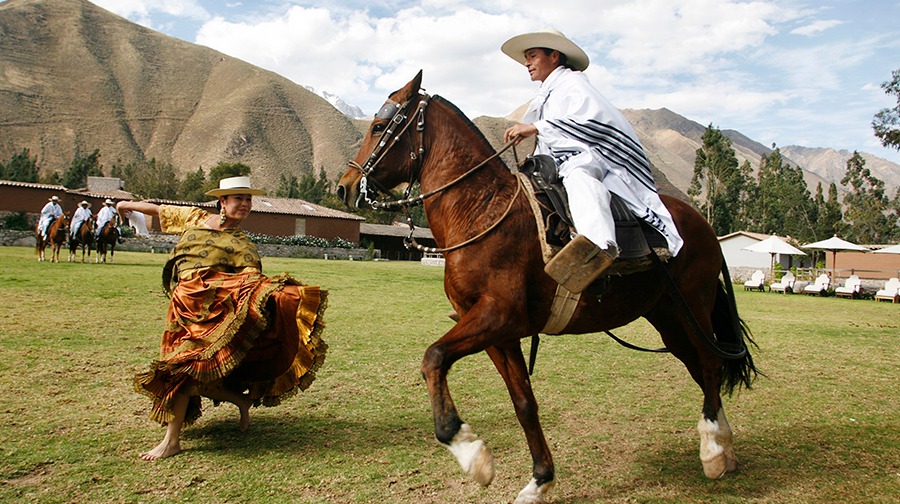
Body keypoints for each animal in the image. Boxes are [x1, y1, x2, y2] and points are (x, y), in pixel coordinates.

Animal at [338, 72, 760, 504]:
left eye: (378, 127)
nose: (344, 187)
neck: (481, 210)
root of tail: (704, 226)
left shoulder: (497, 316)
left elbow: (434, 358)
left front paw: (471, 453)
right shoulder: (497, 333)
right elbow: (524, 402)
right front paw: (539, 480)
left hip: (695, 305)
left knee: (710, 364)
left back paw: (713, 451)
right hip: (669, 318)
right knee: (701, 368)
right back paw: (725, 449)